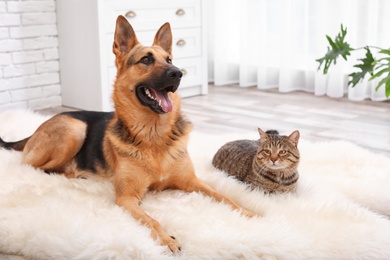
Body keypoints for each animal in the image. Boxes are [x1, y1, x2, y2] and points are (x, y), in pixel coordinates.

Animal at [0, 16, 258, 252]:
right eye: (146, 60)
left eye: (169, 60)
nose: (178, 73)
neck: (154, 135)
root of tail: (39, 127)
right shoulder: (127, 198)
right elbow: (151, 220)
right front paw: (166, 239)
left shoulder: (192, 182)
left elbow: (225, 196)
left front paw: (250, 213)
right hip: (74, 129)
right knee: (37, 168)